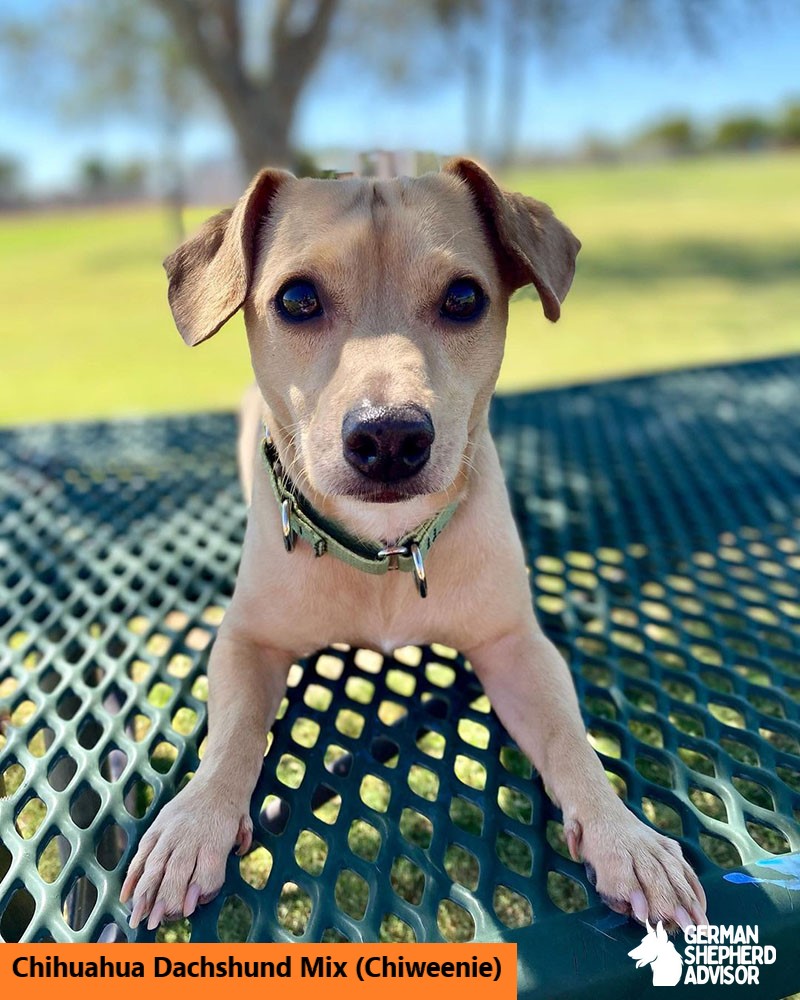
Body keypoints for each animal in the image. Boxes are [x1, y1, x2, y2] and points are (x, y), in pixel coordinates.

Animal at [119, 154, 708, 928]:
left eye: (463, 297)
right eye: (297, 298)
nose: (390, 437)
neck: (387, 550)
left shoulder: (517, 648)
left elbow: (568, 739)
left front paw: (625, 835)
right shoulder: (248, 640)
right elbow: (234, 734)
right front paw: (193, 823)